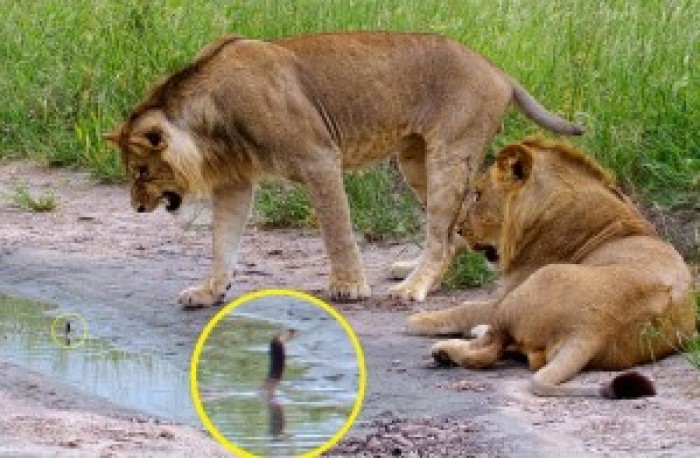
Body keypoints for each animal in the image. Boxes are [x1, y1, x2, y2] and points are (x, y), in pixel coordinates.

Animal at [105, 32, 580, 308]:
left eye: (142, 172)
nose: (136, 208)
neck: (207, 121)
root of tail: (497, 69)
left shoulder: (320, 159)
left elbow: (337, 230)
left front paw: (349, 287)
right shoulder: (234, 183)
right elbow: (223, 242)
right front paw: (209, 291)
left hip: (449, 153)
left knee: (441, 236)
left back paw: (411, 288)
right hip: (415, 159)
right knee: (452, 233)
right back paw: (413, 270)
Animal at [408, 139, 696, 398]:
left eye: (478, 195)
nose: (459, 229)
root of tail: (590, 330)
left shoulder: (508, 292)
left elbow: (466, 308)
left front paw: (419, 319)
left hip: (532, 286)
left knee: (489, 348)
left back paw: (445, 351)